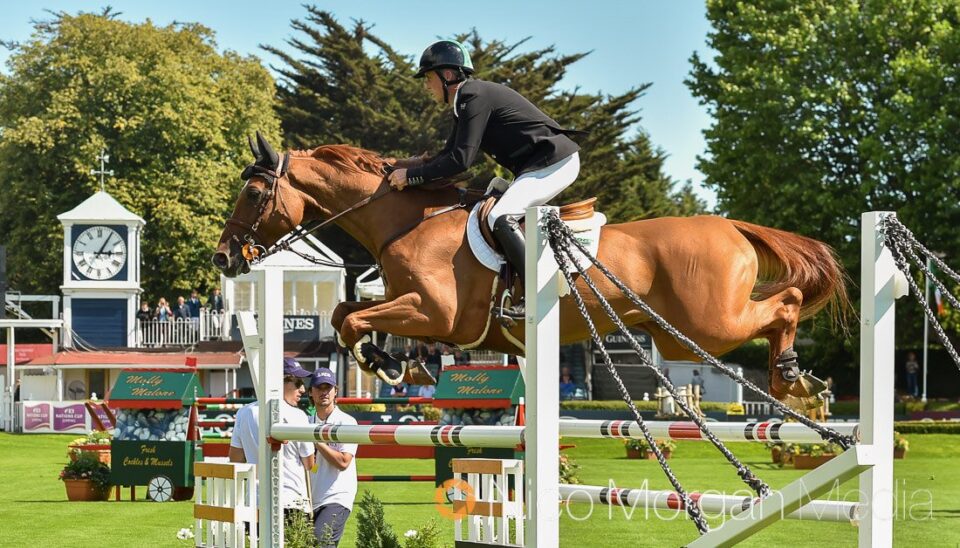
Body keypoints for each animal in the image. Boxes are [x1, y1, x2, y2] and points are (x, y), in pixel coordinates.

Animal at [213, 134, 849, 406]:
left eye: (253, 193)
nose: (223, 257)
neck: (407, 223)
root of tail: (730, 226)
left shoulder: (436, 312)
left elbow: (351, 319)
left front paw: (383, 363)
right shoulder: (414, 308)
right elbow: (349, 310)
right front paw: (395, 363)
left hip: (706, 325)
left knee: (786, 303)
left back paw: (791, 377)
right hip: (684, 334)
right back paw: (793, 380)